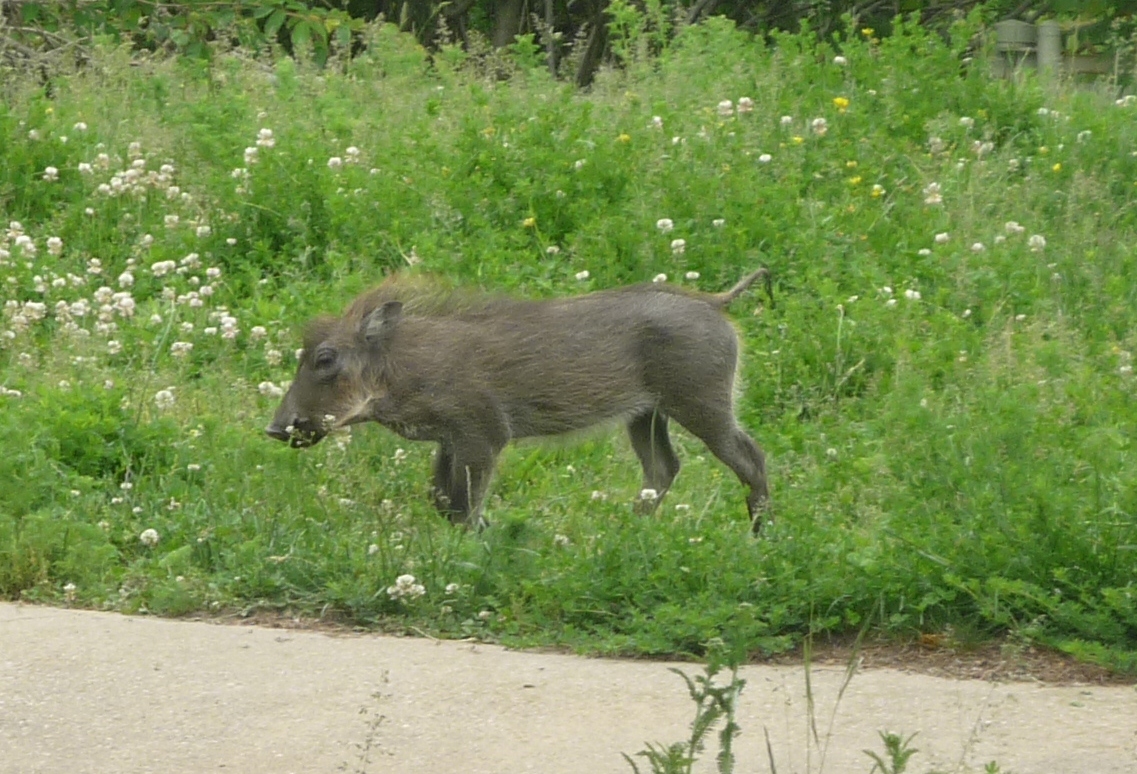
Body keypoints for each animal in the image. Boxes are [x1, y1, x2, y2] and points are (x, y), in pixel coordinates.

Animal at [266, 268, 772, 531]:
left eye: (326, 359)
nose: (274, 428)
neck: (399, 367)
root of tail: (714, 302)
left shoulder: (483, 433)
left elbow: (464, 504)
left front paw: (471, 546)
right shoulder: (450, 439)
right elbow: (442, 499)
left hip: (701, 403)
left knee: (751, 458)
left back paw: (757, 536)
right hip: (645, 415)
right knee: (662, 470)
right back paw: (624, 532)